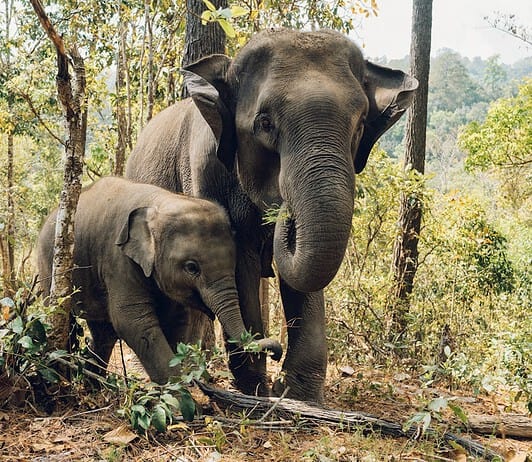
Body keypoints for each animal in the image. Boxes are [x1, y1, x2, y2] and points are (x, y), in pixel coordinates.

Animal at [37, 177, 282, 384]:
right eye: (192, 267)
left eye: (234, 264)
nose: (276, 354)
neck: (161, 202)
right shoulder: (118, 260)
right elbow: (133, 321)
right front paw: (183, 400)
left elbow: (177, 321)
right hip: (49, 266)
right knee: (64, 317)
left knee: (103, 332)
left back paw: (94, 384)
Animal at [126, 29, 418, 402]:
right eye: (264, 124)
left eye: (360, 126)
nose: (284, 211)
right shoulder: (205, 172)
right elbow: (240, 263)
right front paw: (256, 389)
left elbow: (303, 277)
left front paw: (298, 395)